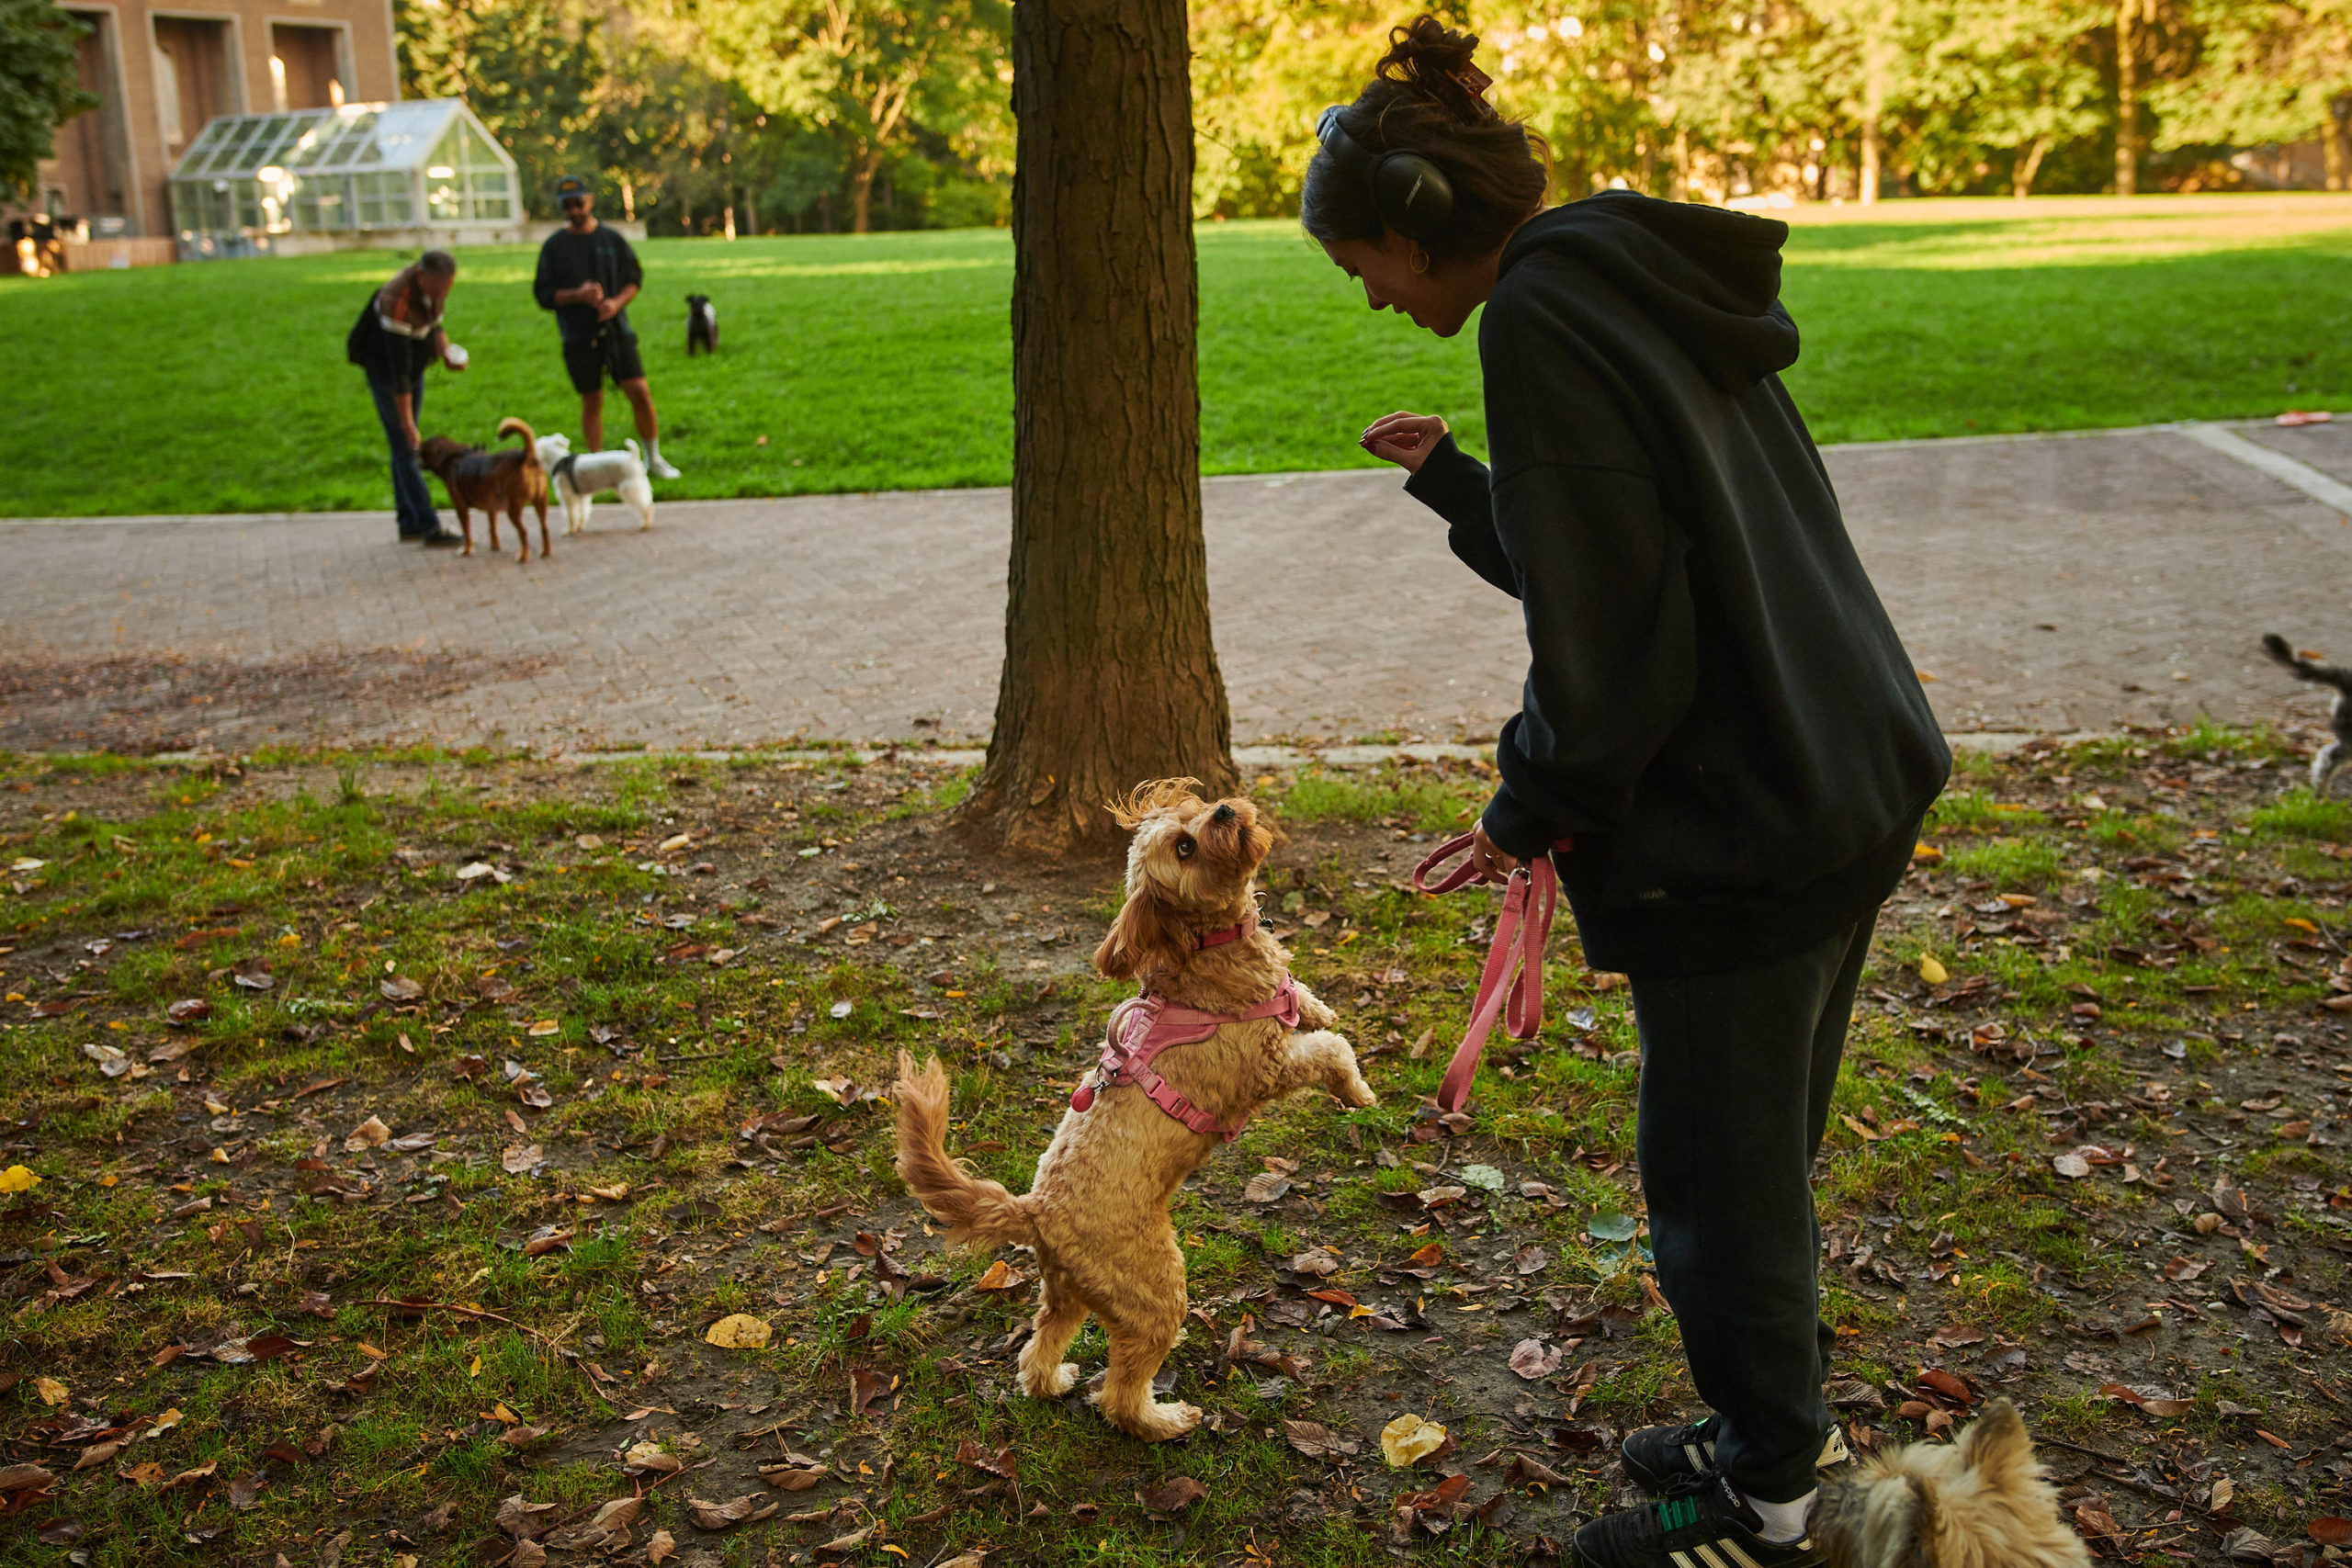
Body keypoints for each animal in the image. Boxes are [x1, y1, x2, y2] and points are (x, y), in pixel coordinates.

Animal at [418, 415, 550, 564]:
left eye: (421, 452)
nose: (415, 449)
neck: (453, 456)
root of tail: (526, 456)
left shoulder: (461, 507)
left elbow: (467, 531)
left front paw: (467, 550)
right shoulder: (491, 507)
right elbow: (492, 527)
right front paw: (495, 546)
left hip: (513, 509)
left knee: (524, 532)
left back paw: (523, 556)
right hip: (541, 502)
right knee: (545, 528)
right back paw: (545, 552)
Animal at [526, 432, 653, 536]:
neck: (559, 460)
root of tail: (633, 457)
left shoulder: (568, 497)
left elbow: (571, 515)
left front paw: (569, 530)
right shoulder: (582, 496)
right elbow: (582, 513)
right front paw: (579, 527)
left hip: (629, 489)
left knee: (646, 506)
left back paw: (645, 524)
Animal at [893, 780, 1374, 1438]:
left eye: (1193, 814)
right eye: (1185, 846)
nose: (1225, 809)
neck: (1208, 949)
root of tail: (1036, 1210)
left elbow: (1305, 999)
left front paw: (1316, 1007)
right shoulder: (1266, 1066)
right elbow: (1332, 1048)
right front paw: (1356, 1090)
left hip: (1068, 1291)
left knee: (1038, 1347)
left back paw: (1052, 1383)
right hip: (1155, 1291)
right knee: (1119, 1391)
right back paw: (1164, 1421)